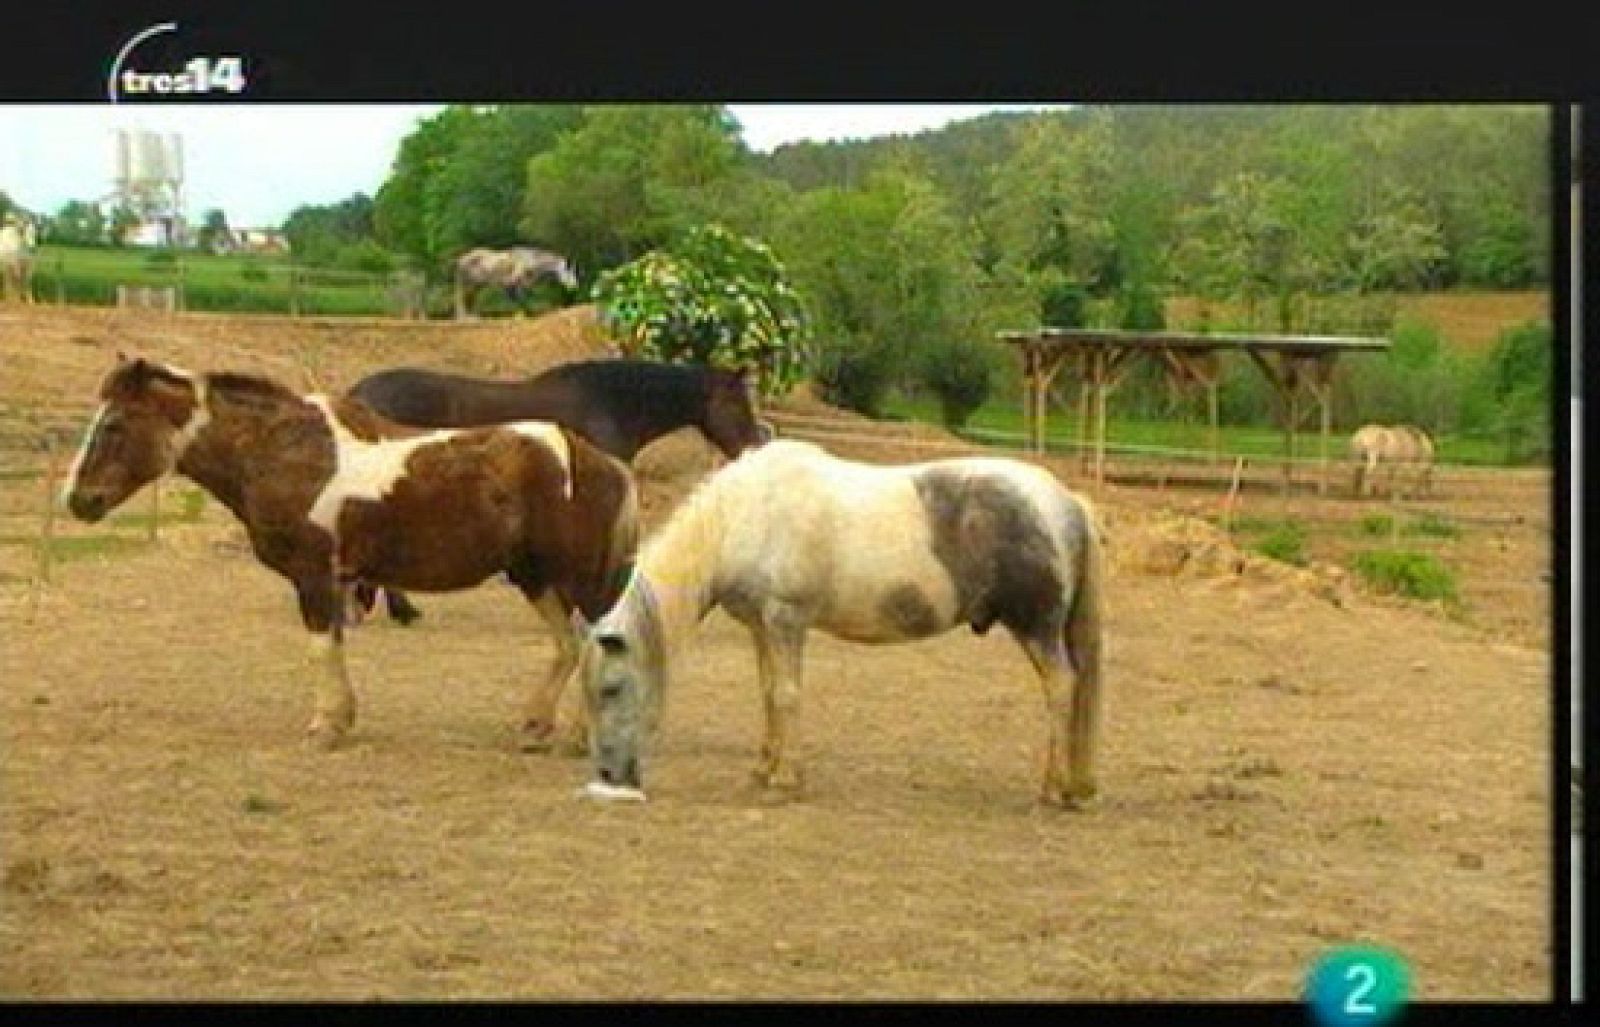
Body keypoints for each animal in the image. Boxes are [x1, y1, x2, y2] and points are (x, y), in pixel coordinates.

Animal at [62, 355, 640, 753]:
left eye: (113, 425)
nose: (77, 499)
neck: (287, 452)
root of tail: (598, 460)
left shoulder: (314, 575)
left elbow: (322, 647)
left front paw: (327, 724)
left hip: (576, 582)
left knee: (596, 643)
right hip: (534, 576)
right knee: (568, 646)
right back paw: (537, 726)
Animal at [575, 438, 1106, 809]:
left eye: (610, 689)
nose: (609, 775)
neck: (744, 516)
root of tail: (1065, 501)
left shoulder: (786, 621)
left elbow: (787, 694)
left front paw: (786, 779)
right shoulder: (761, 627)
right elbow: (769, 692)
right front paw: (765, 768)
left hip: (1037, 631)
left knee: (1062, 687)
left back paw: (1052, 788)